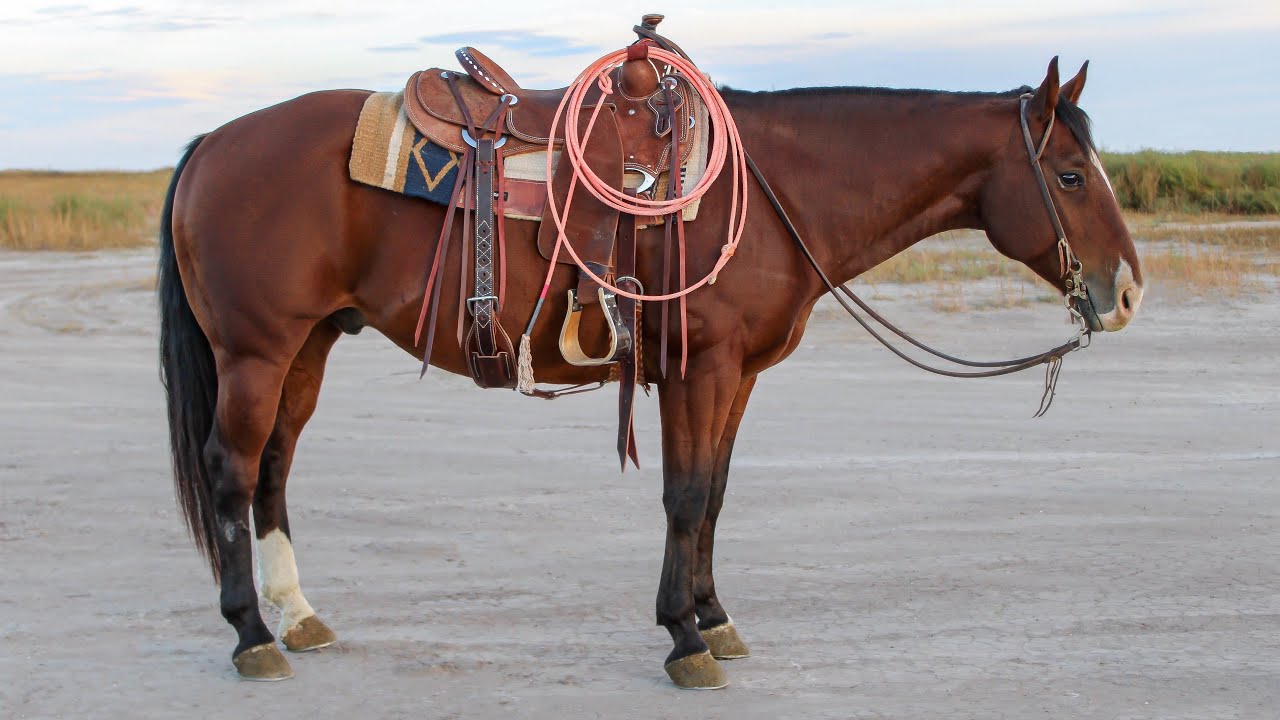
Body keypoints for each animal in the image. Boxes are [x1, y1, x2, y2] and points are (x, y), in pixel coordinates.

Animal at [158, 56, 1143, 689]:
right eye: (1069, 176)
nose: (1127, 290)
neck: (771, 189)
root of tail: (211, 141)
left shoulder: (736, 375)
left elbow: (715, 493)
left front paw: (714, 619)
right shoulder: (698, 369)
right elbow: (684, 493)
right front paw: (683, 640)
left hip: (309, 344)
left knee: (275, 467)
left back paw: (297, 616)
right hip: (256, 350)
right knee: (231, 470)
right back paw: (252, 635)